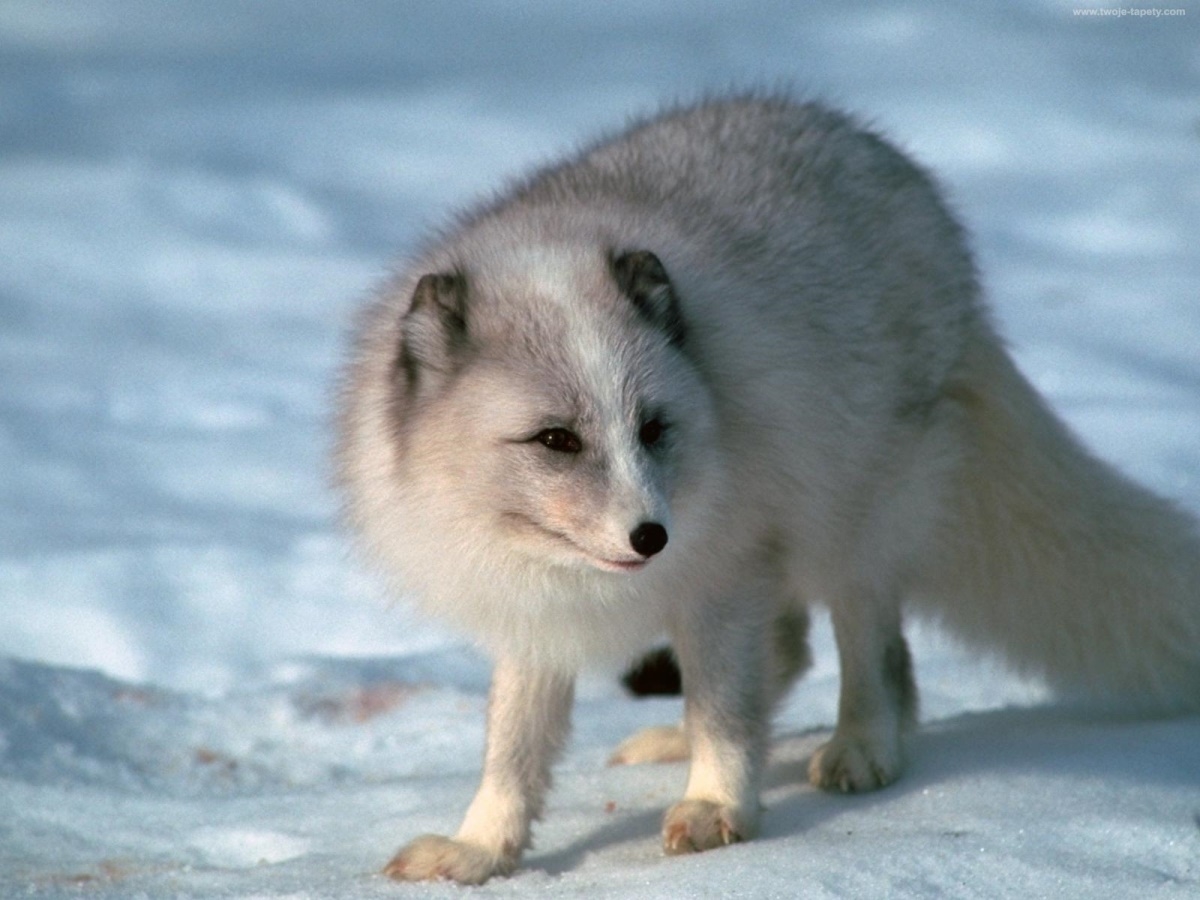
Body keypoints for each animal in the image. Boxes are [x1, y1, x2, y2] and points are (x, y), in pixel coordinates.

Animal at [338, 95, 1200, 883]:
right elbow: (514, 748)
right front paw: (482, 849)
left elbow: (728, 708)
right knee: (783, 650)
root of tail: (886, 157)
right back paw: (676, 739)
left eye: (653, 427)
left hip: (856, 512)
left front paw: (717, 806)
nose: (652, 536)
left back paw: (863, 745)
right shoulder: (537, 611)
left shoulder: (725, 568)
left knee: (874, 650)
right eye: (556, 439)